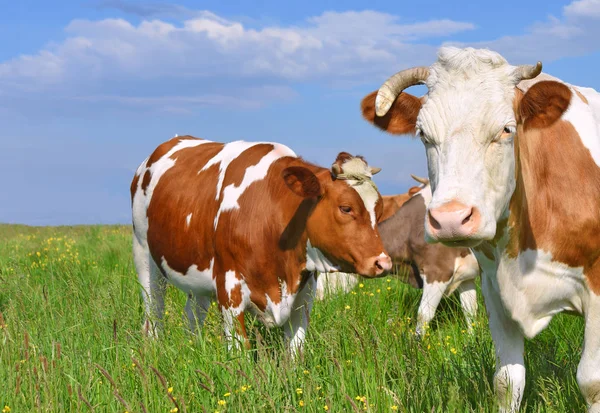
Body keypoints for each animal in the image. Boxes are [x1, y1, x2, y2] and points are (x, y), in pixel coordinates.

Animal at [131, 135, 392, 354]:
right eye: (346, 208)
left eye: (379, 211)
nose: (383, 263)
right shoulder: (229, 290)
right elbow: (240, 352)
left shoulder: (304, 294)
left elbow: (295, 353)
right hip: (144, 254)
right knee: (153, 313)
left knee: (194, 314)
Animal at [316, 175, 480, 334]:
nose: (317, 297)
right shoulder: (466, 276)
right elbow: (470, 312)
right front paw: (472, 338)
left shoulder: (438, 271)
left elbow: (424, 314)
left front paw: (418, 343)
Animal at [360, 46, 600, 410]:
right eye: (423, 134)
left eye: (506, 129)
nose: (450, 219)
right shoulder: (494, 288)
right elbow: (506, 382)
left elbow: (591, 382)